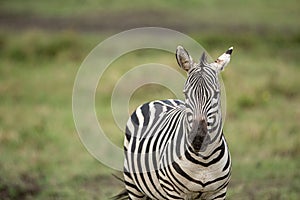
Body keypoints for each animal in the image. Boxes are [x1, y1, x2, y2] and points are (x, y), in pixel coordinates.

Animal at [116, 45, 233, 200]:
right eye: (186, 94)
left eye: (216, 94)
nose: (198, 139)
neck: (204, 161)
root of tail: (160, 99)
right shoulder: (173, 192)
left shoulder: (218, 193)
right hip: (133, 185)